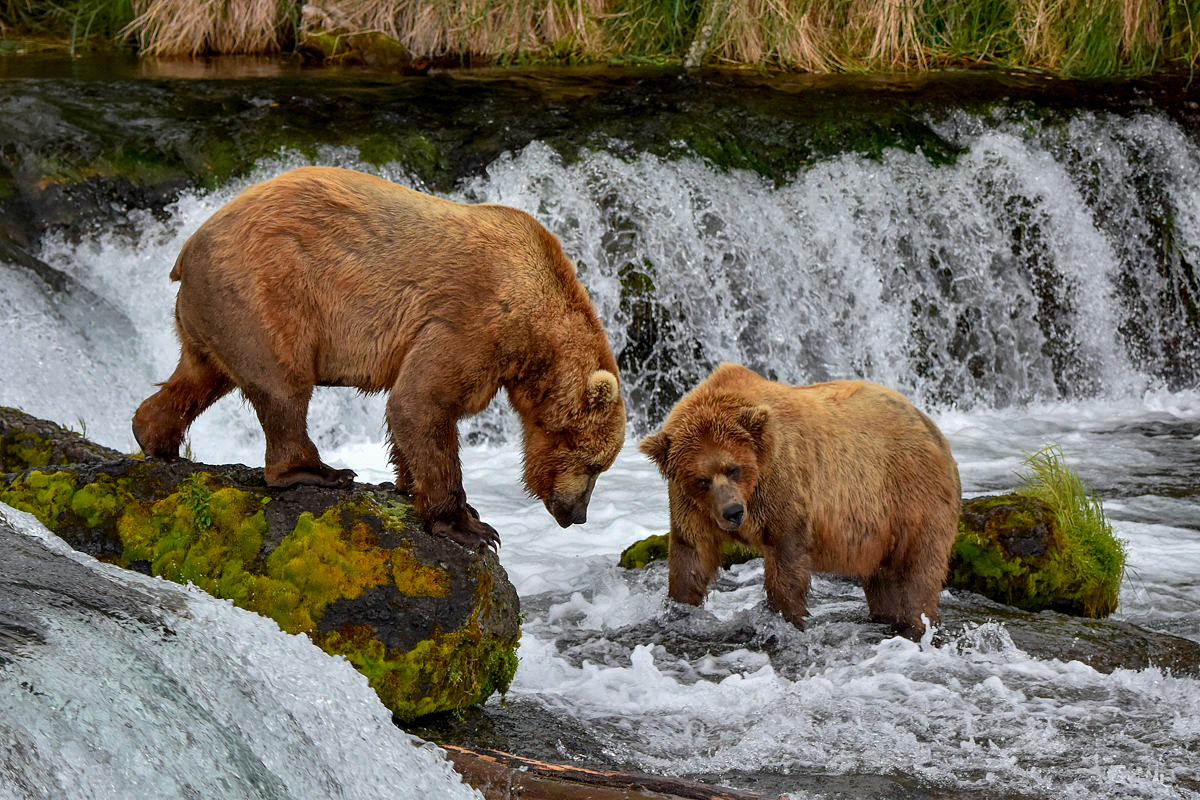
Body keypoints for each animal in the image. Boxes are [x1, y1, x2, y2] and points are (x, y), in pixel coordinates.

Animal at [133, 165, 628, 551]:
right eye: (593, 464)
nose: (577, 515)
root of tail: (188, 247)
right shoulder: (473, 323)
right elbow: (422, 403)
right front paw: (471, 526)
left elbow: (412, 416)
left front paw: (412, 488)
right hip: (265, 292)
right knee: (284, 384)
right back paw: (318, 471)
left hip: (213, 312)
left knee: (200, 375)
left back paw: (156, 439)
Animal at [643, 362, 960, 638]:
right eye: (702, 480)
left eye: (734, 469)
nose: (733, 512)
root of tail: (931, 426)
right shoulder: (691, 506)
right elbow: (691, 555)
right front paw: (678, 611)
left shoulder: (782, 483)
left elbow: (786, 557)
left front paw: (787, 617)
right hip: (879, 529)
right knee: (883, 580)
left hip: (910, 498)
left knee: (917, 572)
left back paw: (916, 624)